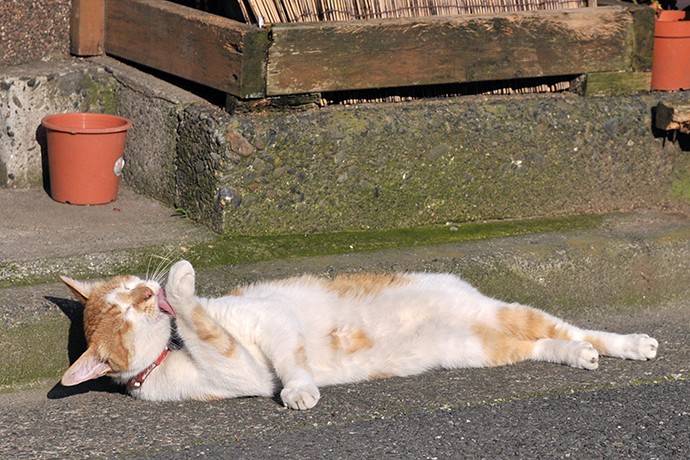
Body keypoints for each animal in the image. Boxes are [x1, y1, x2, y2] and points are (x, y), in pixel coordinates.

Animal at [57, 258, 656, 410]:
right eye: (128, 308)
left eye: (133, 289)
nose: (148, 289)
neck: (173, 351)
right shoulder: (234, 369)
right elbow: (214, 336)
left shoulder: (272, 320)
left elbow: (288, 357)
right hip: (484, 349)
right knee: (543, 344)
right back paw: (578, 357)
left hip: (504, 313)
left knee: (572, 327)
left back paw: (628, 345)